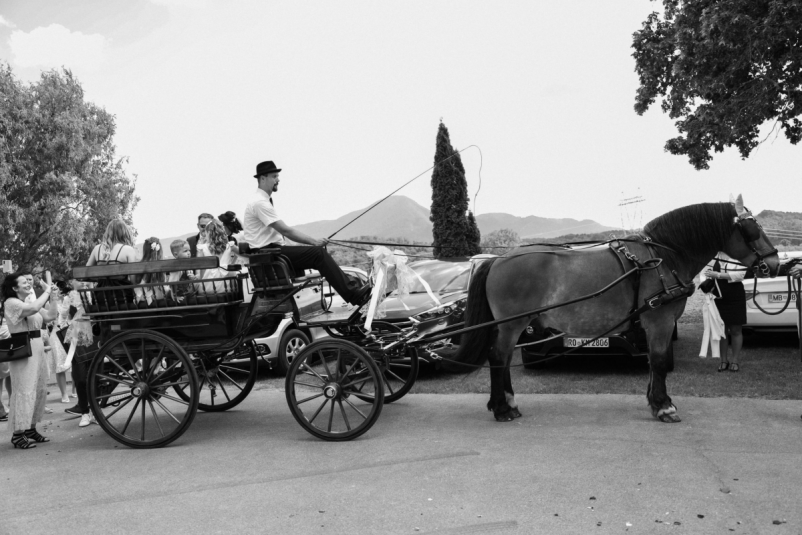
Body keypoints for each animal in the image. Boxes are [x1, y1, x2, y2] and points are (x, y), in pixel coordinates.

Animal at [454, 199, 780, 426]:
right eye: (753, 230)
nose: (775, 264)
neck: (664, 257)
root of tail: (498, 259)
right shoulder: (659, 321)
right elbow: (659, 361)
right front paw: (664, 406)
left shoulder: (653, 325)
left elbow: (653, 362)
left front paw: (655, 402)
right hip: (513, 324)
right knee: (499, 357)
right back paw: (501, 409)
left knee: (504, 358)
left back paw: (509, 403)